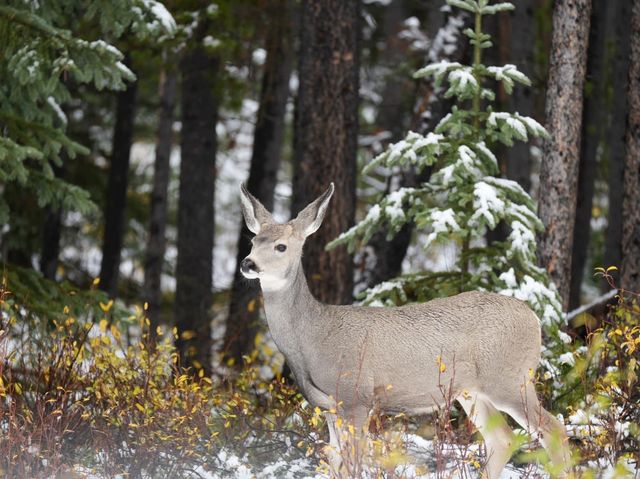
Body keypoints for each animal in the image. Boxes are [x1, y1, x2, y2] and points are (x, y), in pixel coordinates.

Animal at [238, 182, 568, 478]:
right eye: (253, 242)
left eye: (281, 246)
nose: (247, 263)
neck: (312, 338)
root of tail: (535, 318)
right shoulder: (330, 405)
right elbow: (334, 460)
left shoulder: (356, 395)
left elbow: (353, 460)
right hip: (471, 390)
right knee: (502, 438)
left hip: (510, 378)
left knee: (554, 431)